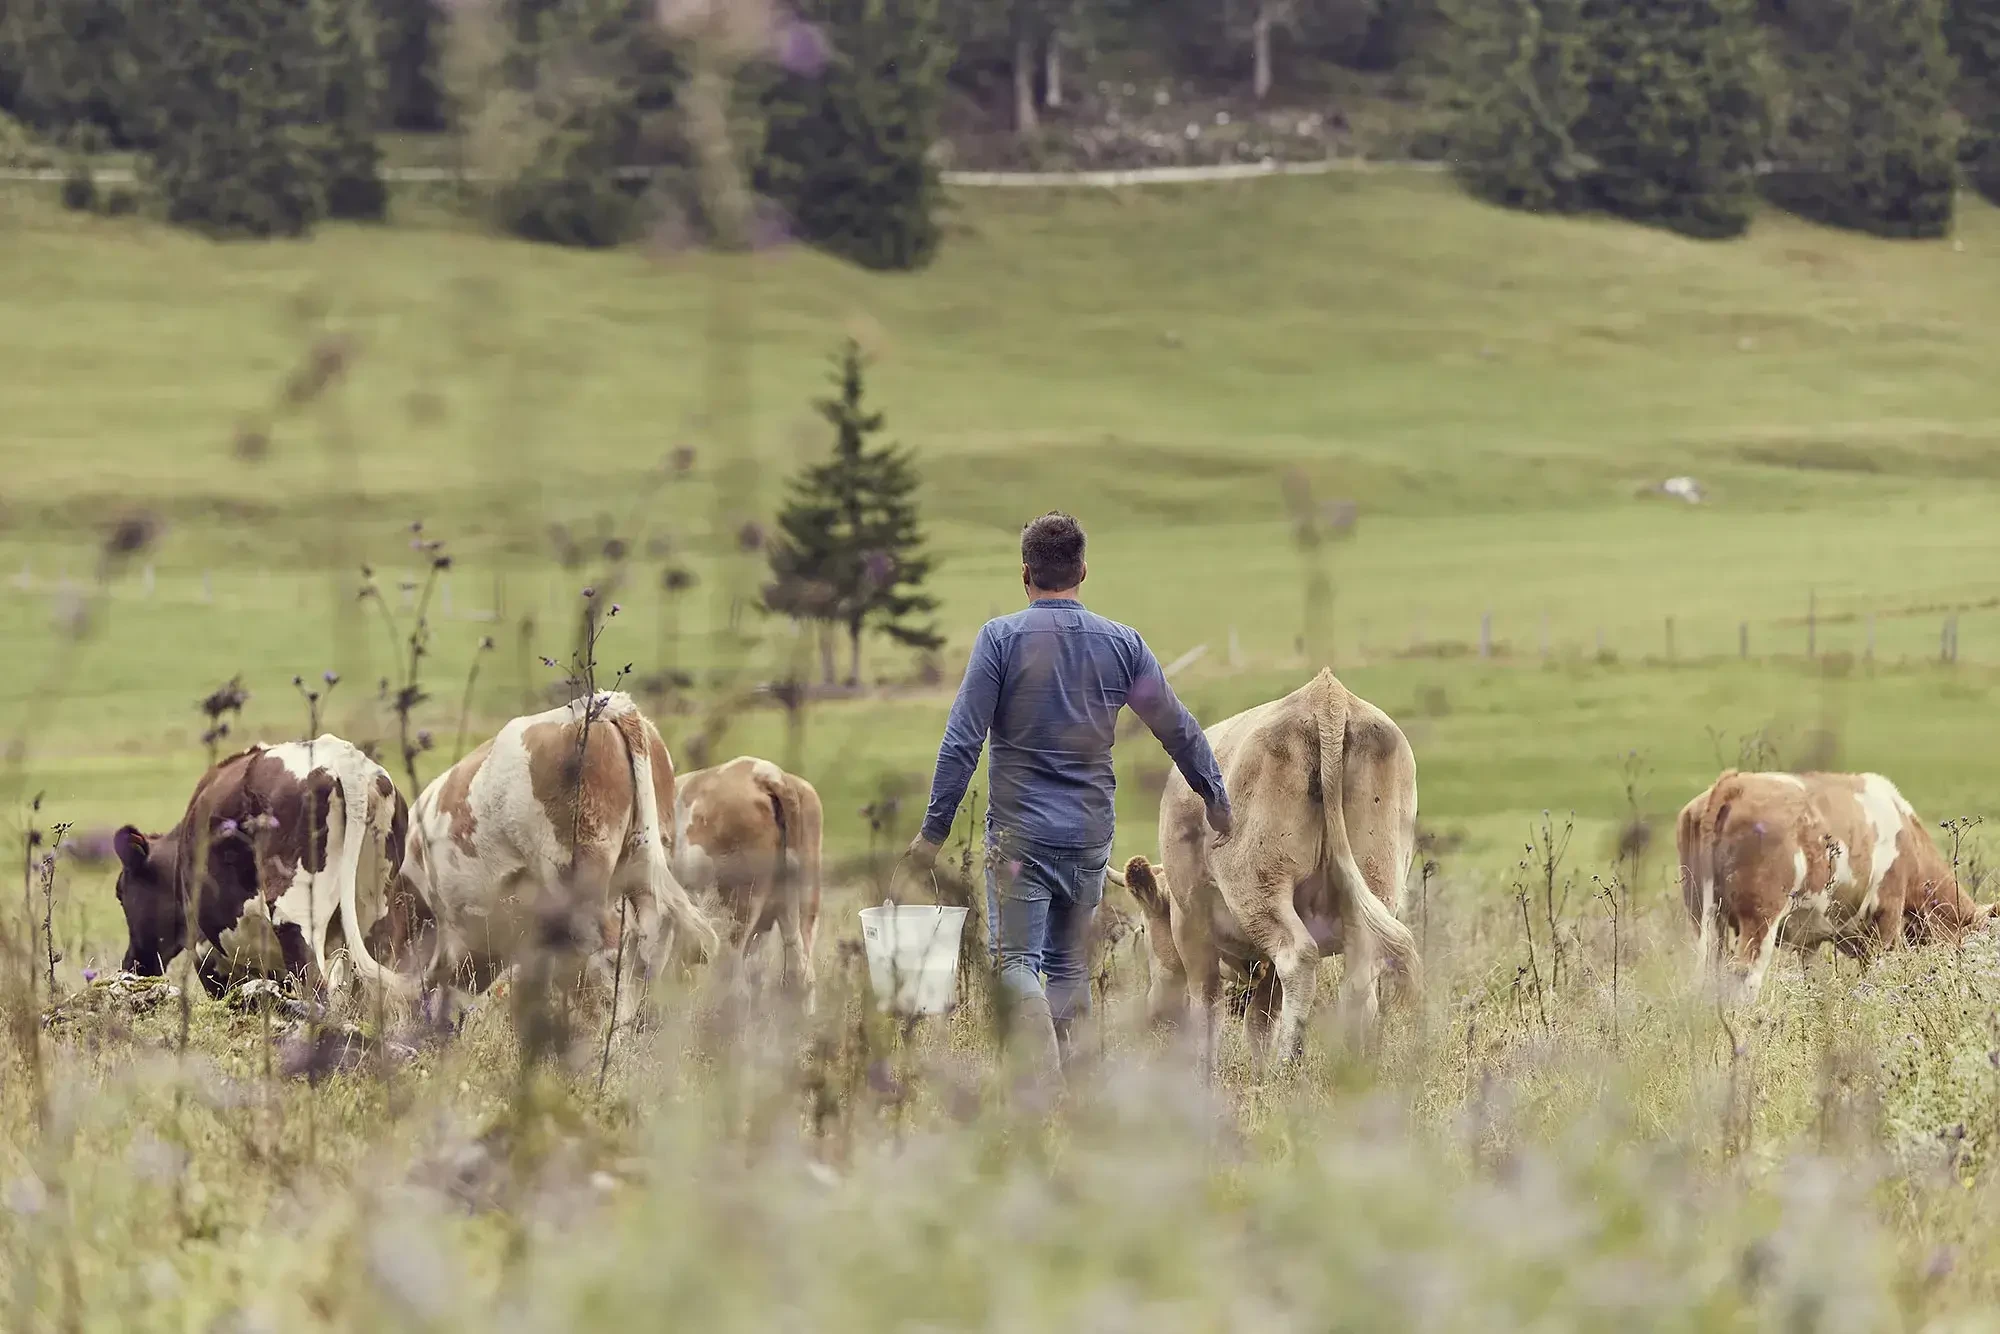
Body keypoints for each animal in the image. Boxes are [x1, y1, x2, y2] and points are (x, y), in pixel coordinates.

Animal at [109, 736, 414, 996]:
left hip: (293, 913)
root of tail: (344, 759)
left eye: (120, 893)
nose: (131, 963)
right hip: (374, 918)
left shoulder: (208, 954)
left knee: (315, 983)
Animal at [1112, 668, 1424, 1072]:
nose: (1154, 1013)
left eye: (1146, 928)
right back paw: (1353, 1069)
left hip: (1259, 886)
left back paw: (1288, 1062)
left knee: (1297, 957)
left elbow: (1207, 1003)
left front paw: (1204, 1069)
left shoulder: (1190, 921)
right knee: (1359, 979)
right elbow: (1261, 1017)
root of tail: (1327, 696)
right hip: (1376, 883)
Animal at [1680, 768, 1992, 1008]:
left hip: (1703, 917)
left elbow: (1813, 985)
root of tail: (1734, 783)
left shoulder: (1810, 940)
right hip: (1759, 919)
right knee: (1745, 979)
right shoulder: (1887, 915)